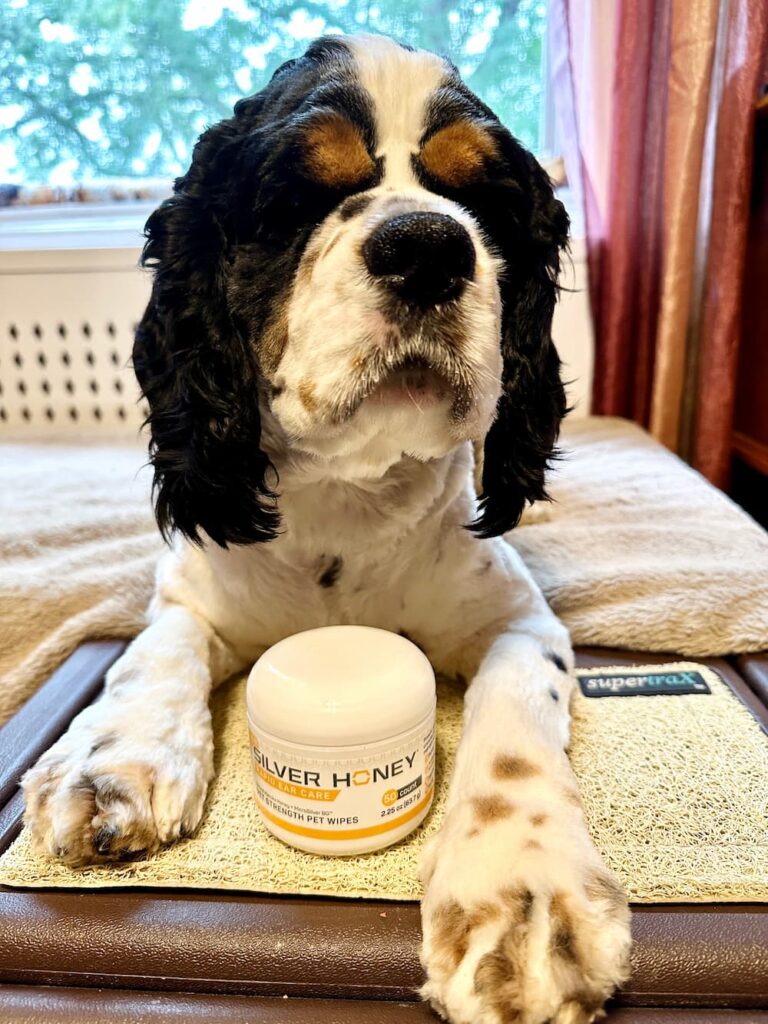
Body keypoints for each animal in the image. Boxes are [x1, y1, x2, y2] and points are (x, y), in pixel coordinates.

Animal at [22, 36, 630, 1024]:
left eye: (485, 203)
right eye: (295, 199)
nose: (427, 247)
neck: (353, 491)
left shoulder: (519, 621)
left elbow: (513, 725)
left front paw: (520, 901)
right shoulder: (191, 593)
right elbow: (152, 659)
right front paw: (113, 766)